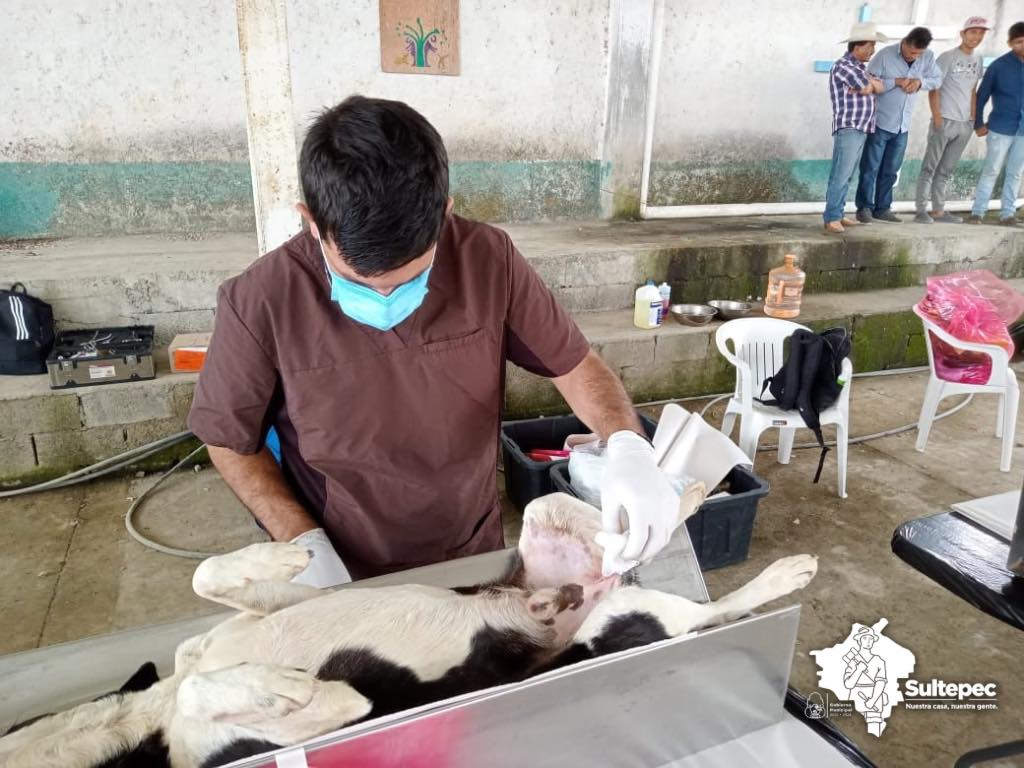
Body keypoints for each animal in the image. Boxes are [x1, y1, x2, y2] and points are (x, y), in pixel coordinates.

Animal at [0, 489, 815, 765]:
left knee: (626, 544)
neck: (149, 724)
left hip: (563, 539)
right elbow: (233, 681)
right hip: (616, 616)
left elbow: (212, 583)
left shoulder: (260, 633)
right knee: (703, 610)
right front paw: (284, 687)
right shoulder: (315, 720)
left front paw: (283, 555)